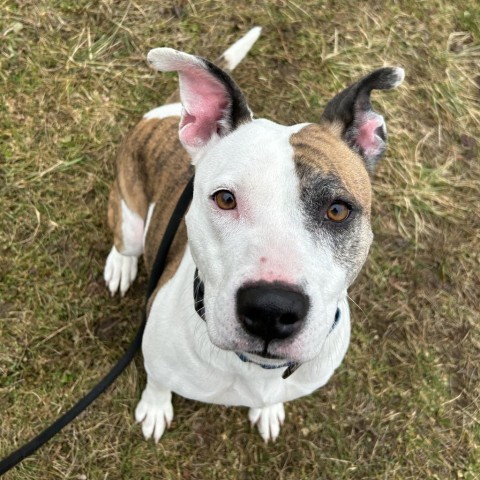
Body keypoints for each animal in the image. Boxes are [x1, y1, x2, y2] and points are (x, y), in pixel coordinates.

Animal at [104, 28, 404, 442]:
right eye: (225, 199)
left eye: (337, 210)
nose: (271, 310)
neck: (253, 369)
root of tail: (166, 113)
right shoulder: (157, 357)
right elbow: (158, 382)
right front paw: (154, 407)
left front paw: (268, 409)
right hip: (131, 216)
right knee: (125, 238)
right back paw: (120, 265)